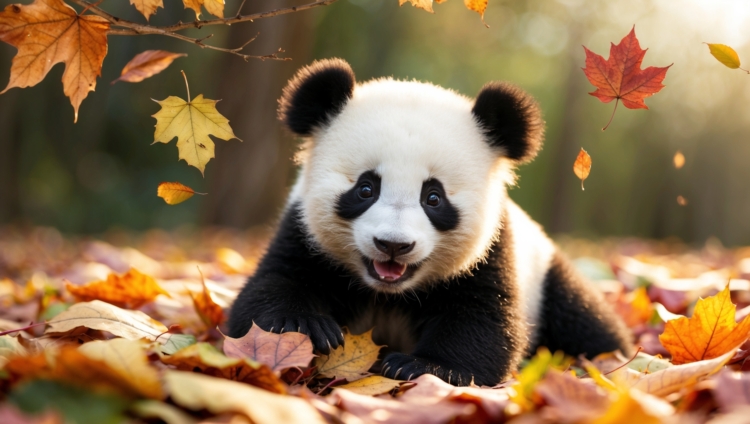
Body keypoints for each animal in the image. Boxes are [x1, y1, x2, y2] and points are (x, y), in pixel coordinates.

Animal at [227, 58, 632, 387]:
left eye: (433, 198)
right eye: (365, 188)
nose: (393, 245)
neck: (389, 292)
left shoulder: (491, 250)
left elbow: (483, 321)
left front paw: (420, 366)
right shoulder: (303, 232)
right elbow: (268, 290)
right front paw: (303, 327)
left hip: (545, 276)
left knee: (584, 321)